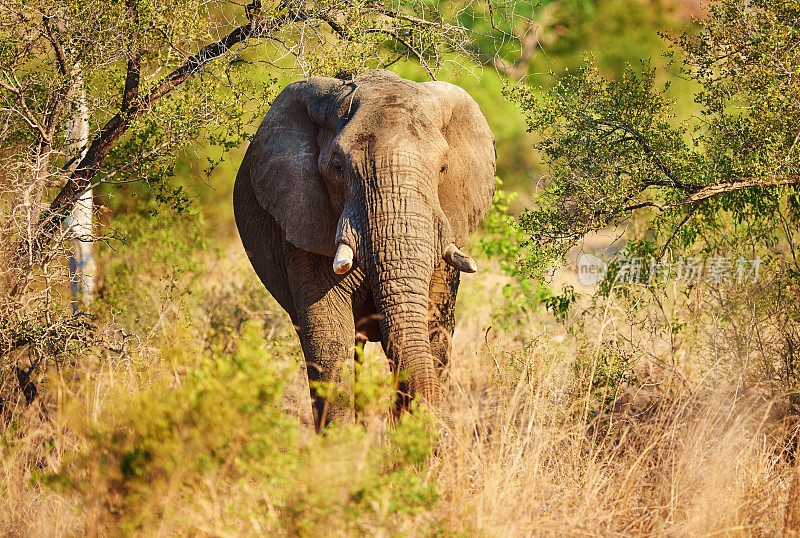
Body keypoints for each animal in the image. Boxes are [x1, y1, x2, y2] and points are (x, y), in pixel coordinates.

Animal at [231, 69, 494, 430]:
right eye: (338, 167)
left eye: (443, 168)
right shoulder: (303, 220)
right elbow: (328, 338)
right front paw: (344, 443)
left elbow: (432, 332)